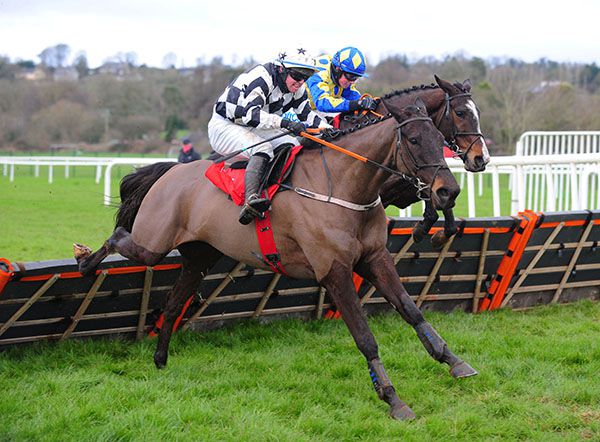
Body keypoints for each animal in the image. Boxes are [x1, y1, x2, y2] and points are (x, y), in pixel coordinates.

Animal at [74, 98, 477, 420]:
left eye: (440, 139)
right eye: (414, 140)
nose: (449, 191)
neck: (342, 186)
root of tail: (170, 171)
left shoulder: (376, 259)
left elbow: (412, 311)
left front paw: (454, 361)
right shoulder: (334, 272)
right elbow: (365, 338)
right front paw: (393, 399)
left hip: (199, 257)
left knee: (172, 305)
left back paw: (160, 359)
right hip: (153, 243)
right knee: (119, 236)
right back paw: (85, 260)